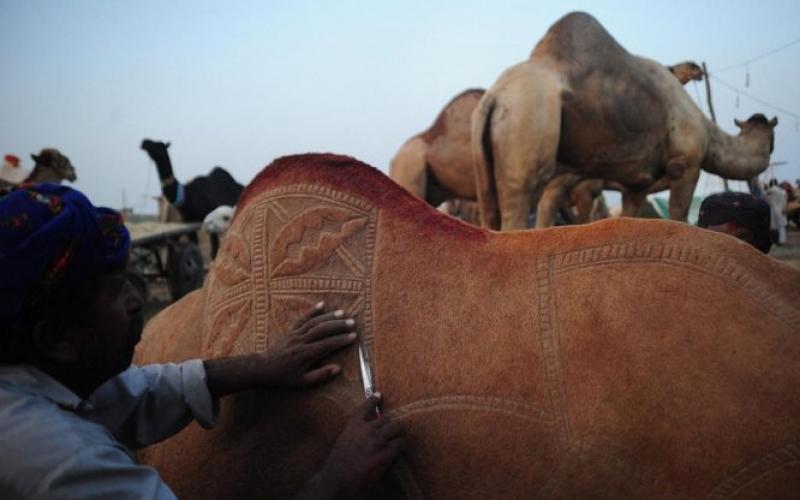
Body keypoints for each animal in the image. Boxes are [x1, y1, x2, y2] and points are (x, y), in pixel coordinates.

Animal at [472, 11, 780, 229]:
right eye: (773, 138)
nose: (697, 70)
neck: (705, 128)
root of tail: (494, 97)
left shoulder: (636, 184)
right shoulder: (685, 163)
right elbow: (678, 216)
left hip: (487, 159)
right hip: (528, 123)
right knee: (521, 207)